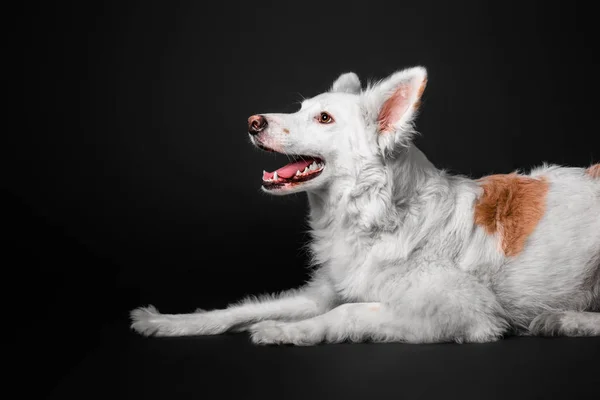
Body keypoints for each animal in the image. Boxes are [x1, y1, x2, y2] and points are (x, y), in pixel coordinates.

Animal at [131, 65, 600, 344]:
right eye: (301, 109)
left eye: (324, 118)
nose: (253, 122)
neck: (380, 215)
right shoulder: (323, 291)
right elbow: (241, 307)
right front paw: (169, 322)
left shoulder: (465, 311)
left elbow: (350, 312)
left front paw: (284, 331)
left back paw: (565, 320)